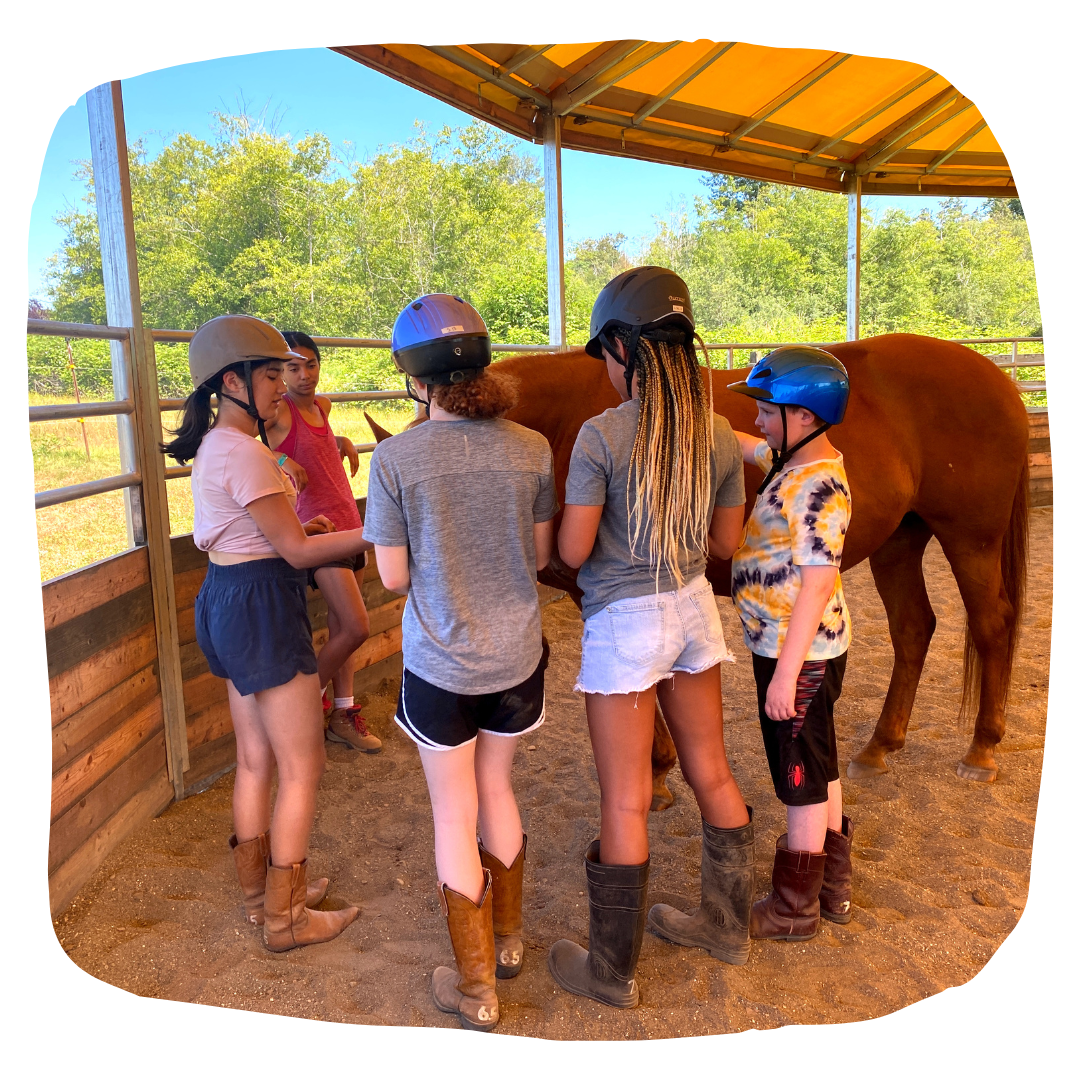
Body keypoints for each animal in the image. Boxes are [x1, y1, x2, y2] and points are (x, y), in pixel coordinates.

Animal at [369, 332, 1028, 807]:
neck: (560, 423)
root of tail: (997, 378)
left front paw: (656, 773)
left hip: (970, 538)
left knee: (992, 625)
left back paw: (982, 750)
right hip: (901, 540)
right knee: (914, 629)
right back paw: (881, 746)